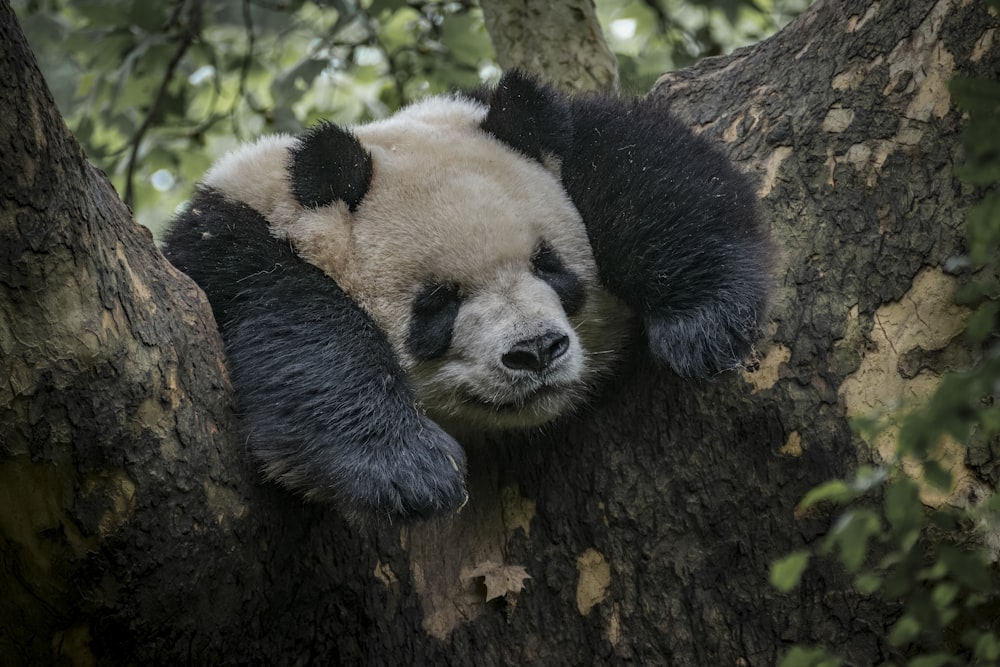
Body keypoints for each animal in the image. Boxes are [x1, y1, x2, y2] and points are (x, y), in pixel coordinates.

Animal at [164, 72, 772, 520]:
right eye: (438, 303)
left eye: (549, 266)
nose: (537, 351)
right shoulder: (228, 248)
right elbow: (295, 333)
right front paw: (409, 470)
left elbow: (638, 163)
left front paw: (705, 323)